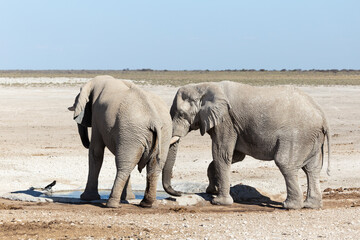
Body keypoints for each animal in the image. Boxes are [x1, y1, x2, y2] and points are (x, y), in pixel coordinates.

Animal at [68, 76, 179, 207]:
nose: (86, 142)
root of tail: (154, 120)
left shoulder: (97, 117)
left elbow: (96, 152)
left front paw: (87, 198)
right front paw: (128, 198)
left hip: (133, 131)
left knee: (124, 166)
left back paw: (112, 204)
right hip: (160, 132)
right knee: (151, 167)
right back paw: (146, 204)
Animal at [165, 80, 330, 208]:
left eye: (181, 114)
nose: (179, 193)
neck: (205, 86)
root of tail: (323, 117)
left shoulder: (226, 120)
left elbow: (221, 154)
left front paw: (219, 202)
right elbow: (235, 156)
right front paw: (211, 190)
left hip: (297, 136)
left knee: (285, 164)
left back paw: (290, 206)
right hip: (312, 138)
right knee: (312, 169)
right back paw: (311, 205)